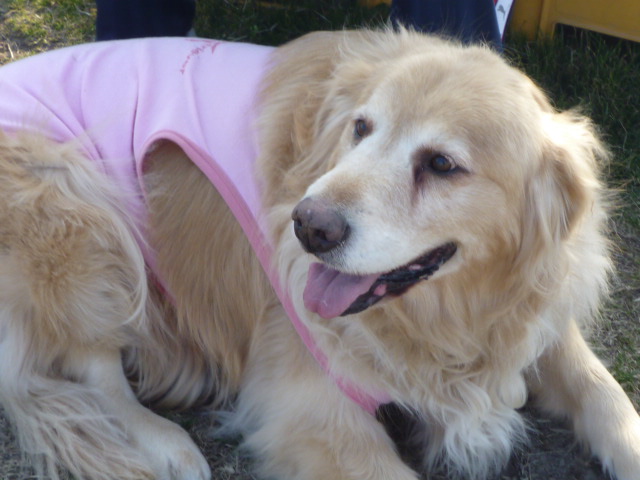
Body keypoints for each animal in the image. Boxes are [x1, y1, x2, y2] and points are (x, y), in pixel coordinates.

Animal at [0, 29, 639, 480]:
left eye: (441, 164)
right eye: (361, 128)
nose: (308, 227)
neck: (450, 319)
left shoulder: (539, 315)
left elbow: (602, 390)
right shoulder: (310, 408)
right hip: (73, 202)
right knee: (92, 366)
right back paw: (167, 443)